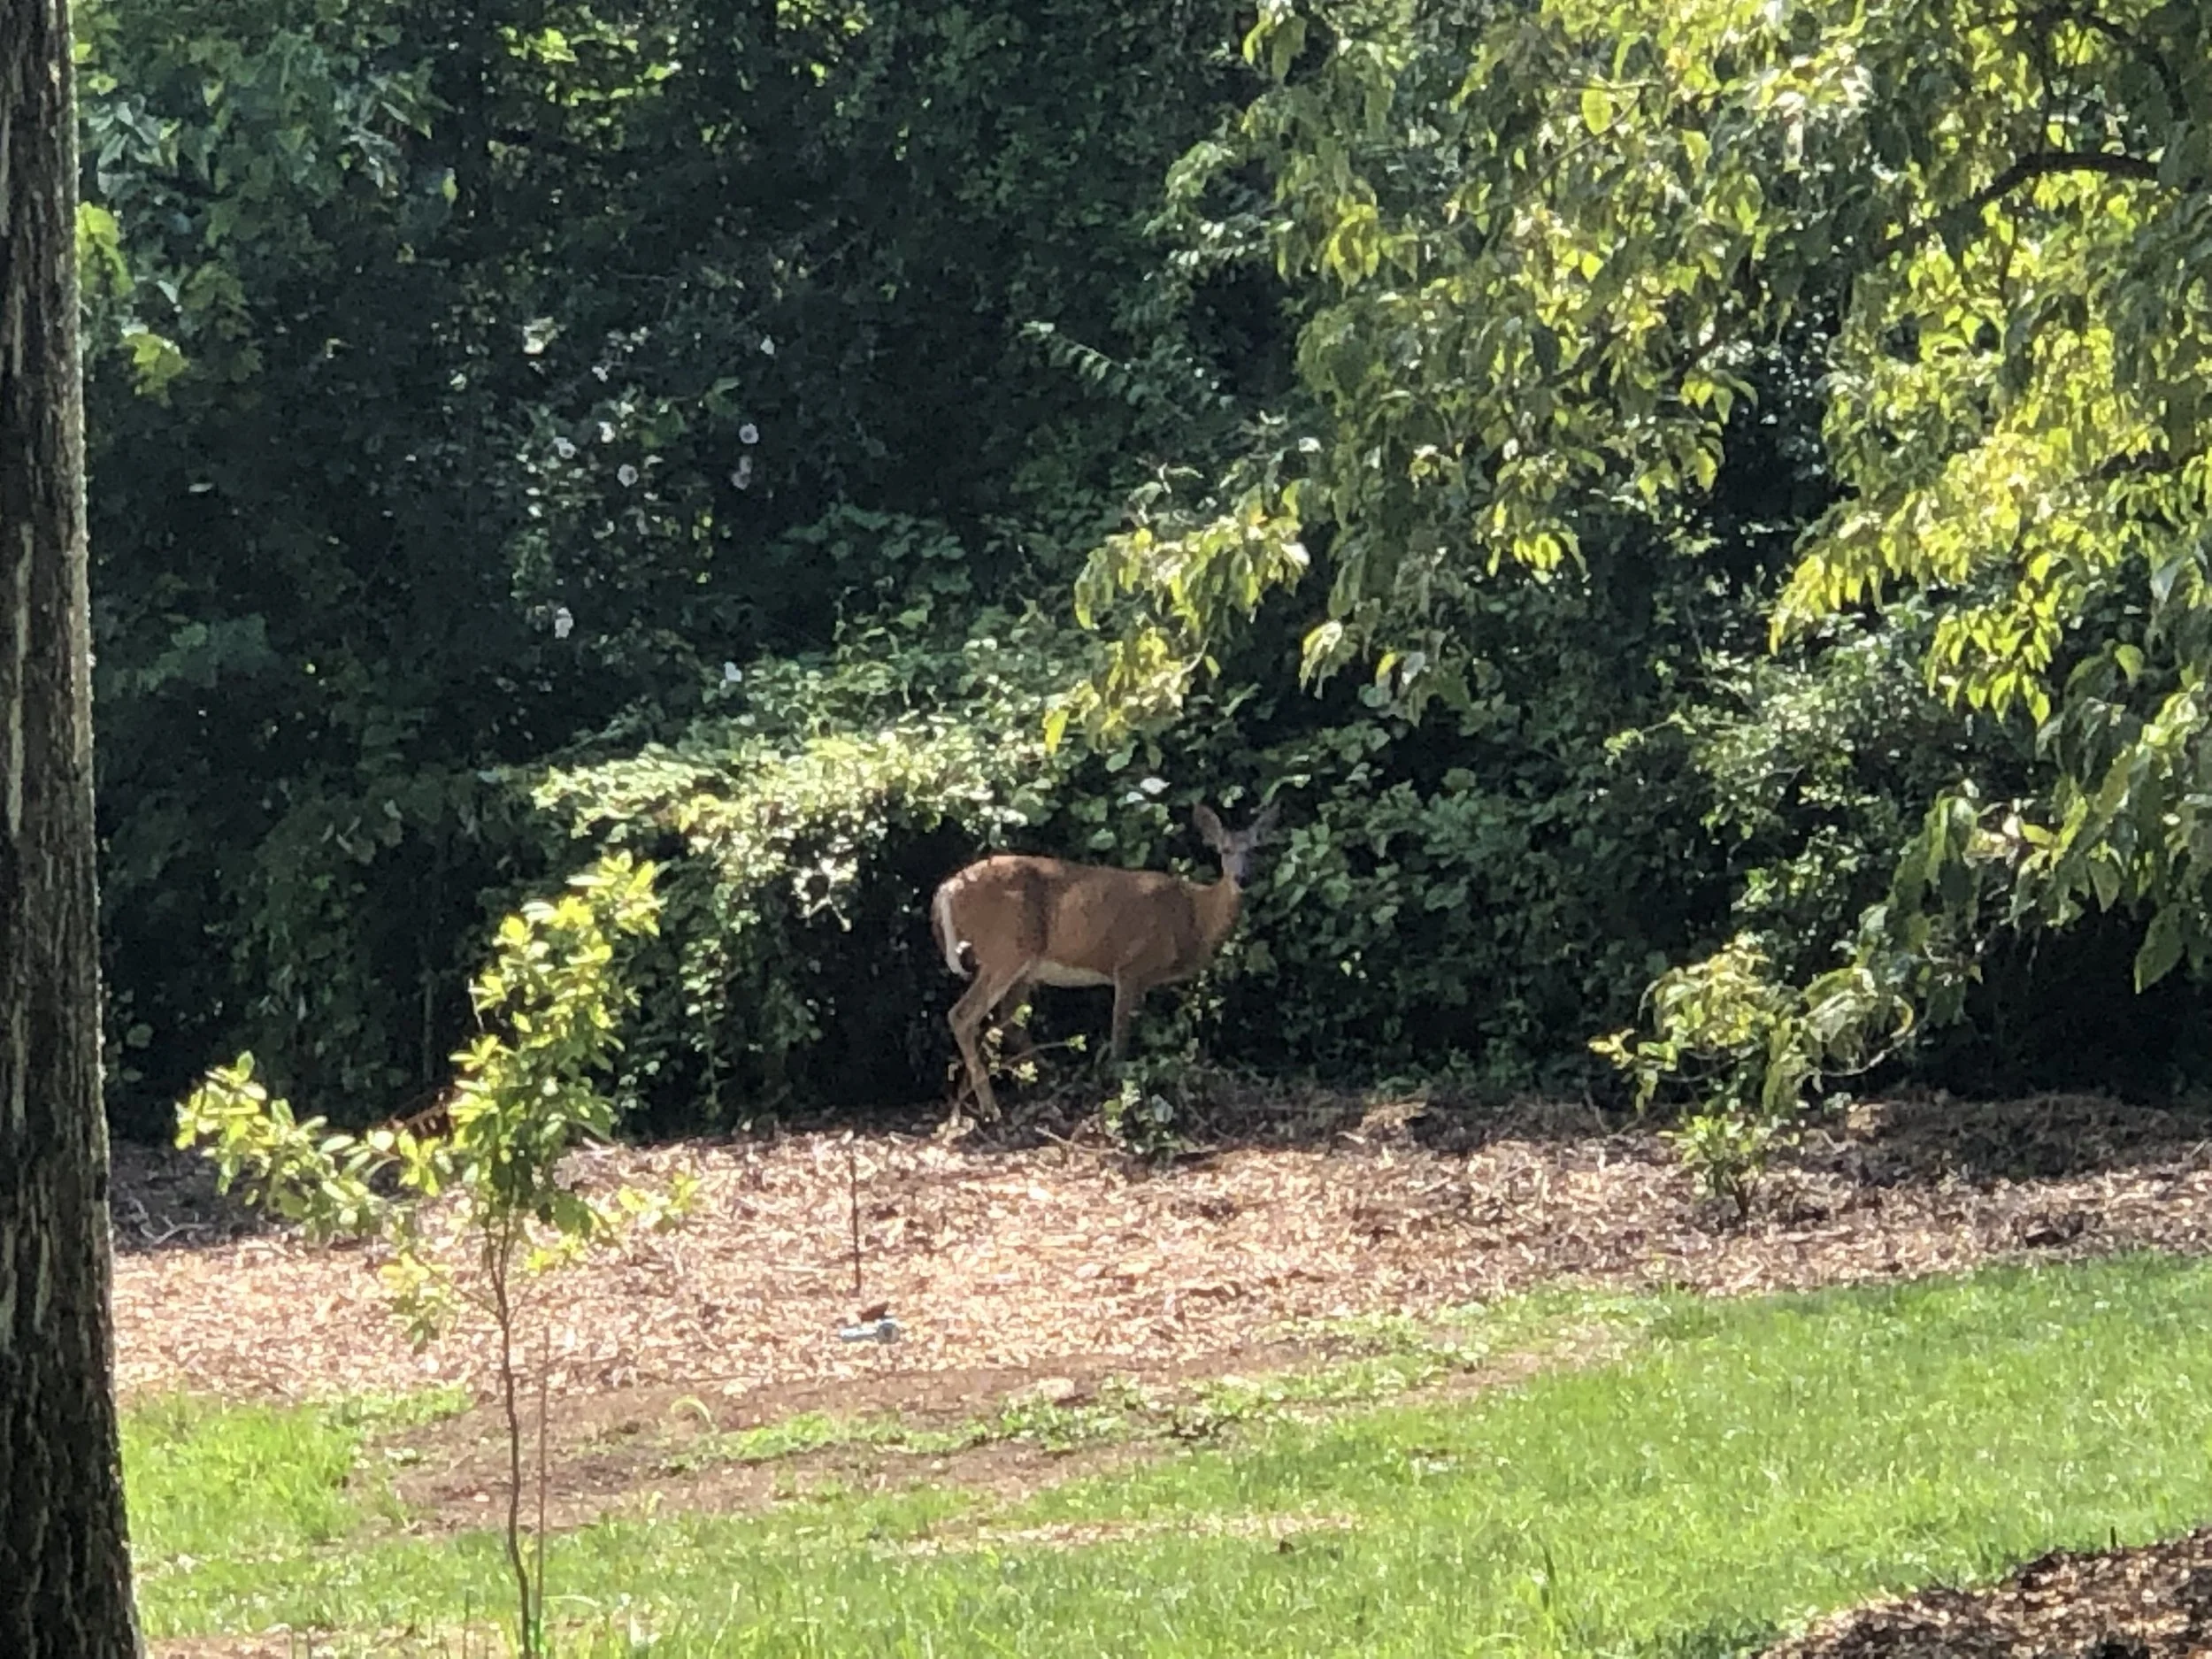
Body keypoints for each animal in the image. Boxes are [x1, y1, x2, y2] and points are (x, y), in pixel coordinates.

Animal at [930, 800, 1280, 1118]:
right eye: (1224, 850)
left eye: (1256, 849)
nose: (1242, 878)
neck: (1194, 917)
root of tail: (946, 889)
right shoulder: (1131, 965)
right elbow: (1119, 1038)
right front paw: (1118, 1093)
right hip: (1005, 948)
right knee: (963, 1015)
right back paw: (992, 1107)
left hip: (1022, 965)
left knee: (1005, 1021)